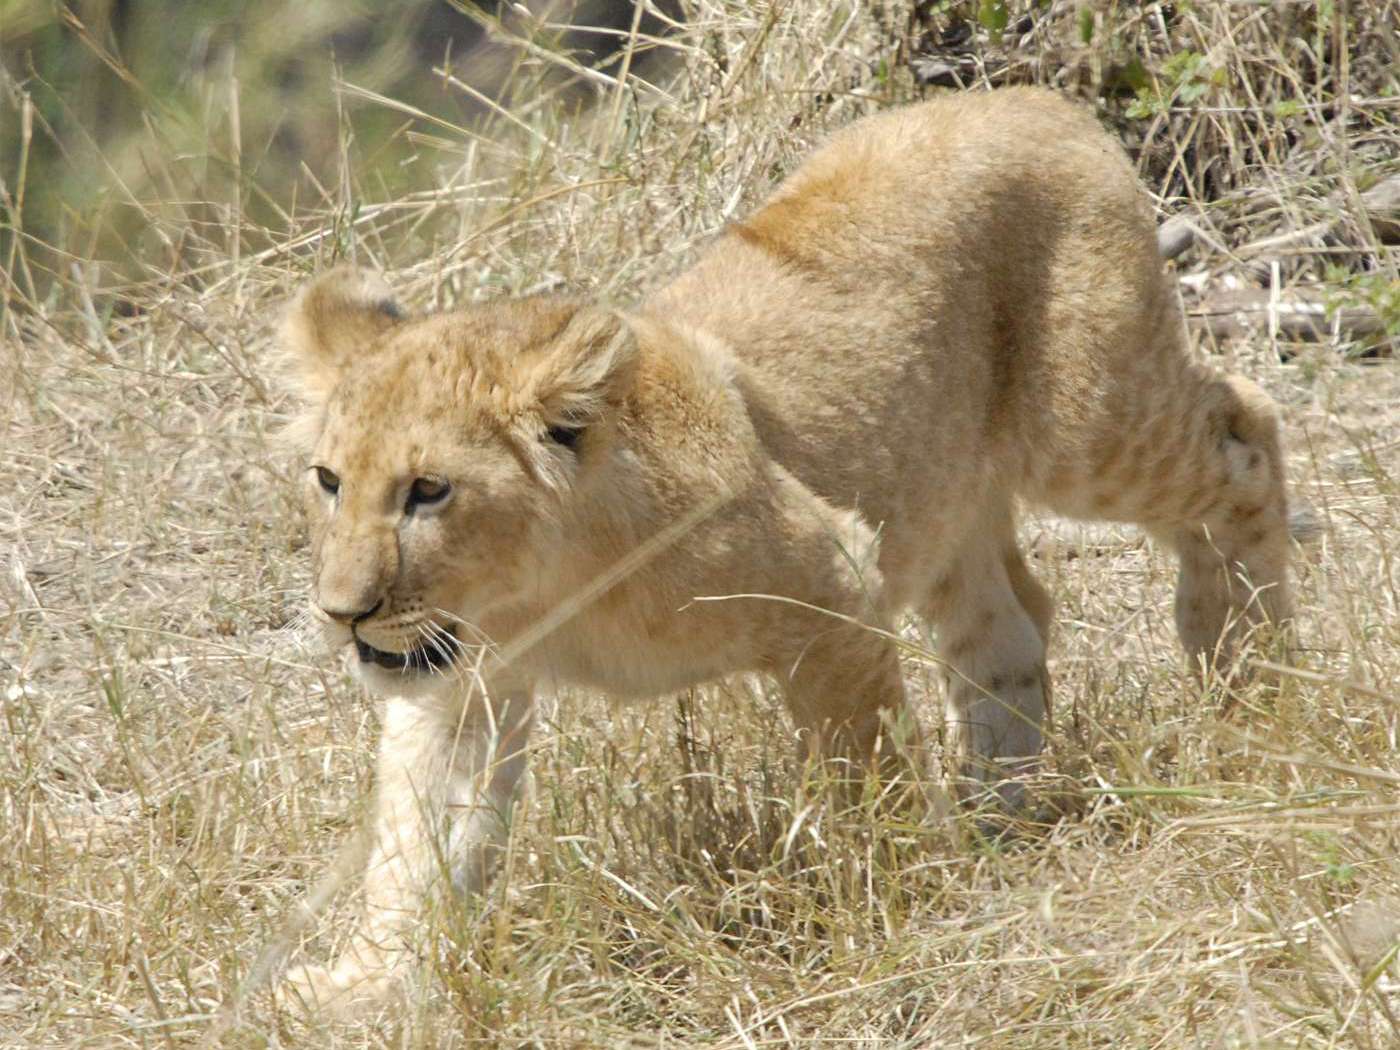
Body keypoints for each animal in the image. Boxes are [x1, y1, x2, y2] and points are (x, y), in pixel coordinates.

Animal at [275, 87, 1291, 1008]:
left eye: (428, 492)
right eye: (329, 481)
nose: (343, 613)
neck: (546, 592)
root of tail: (1031, 99)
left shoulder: (830, 582)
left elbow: (864, 769)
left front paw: (903, 903)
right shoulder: (459, 685)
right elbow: (416, 845)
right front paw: (366, 986)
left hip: (1086, 421)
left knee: (1244, 432)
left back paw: (1248, 673)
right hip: (939, 490)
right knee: (1010, 624)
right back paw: (997, 809)